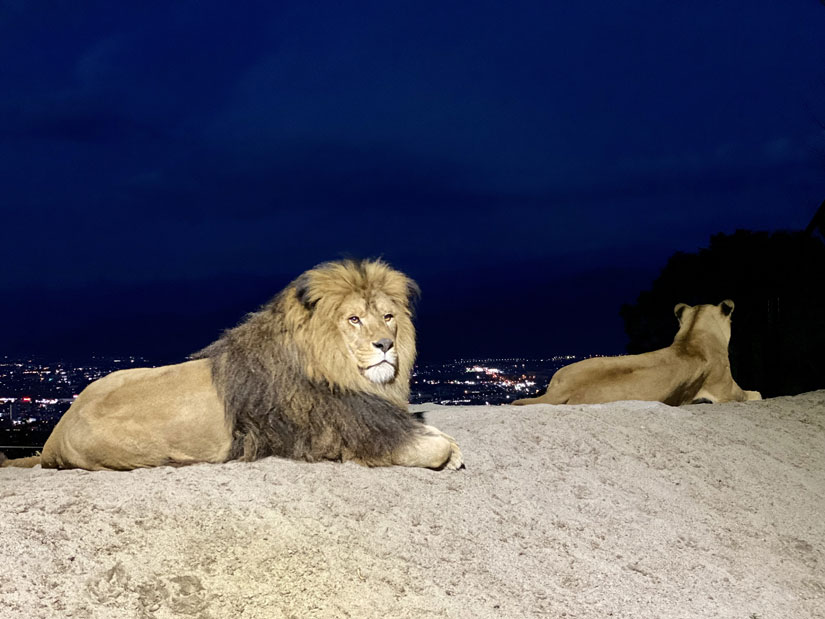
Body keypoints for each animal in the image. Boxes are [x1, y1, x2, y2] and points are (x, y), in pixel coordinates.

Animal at [1, 260, 464, 470]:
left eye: (388, 316)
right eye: (353, 319)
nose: (386, 344)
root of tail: (54, 436)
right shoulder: (342, 434)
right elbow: (430, 445)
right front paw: (449, 453)